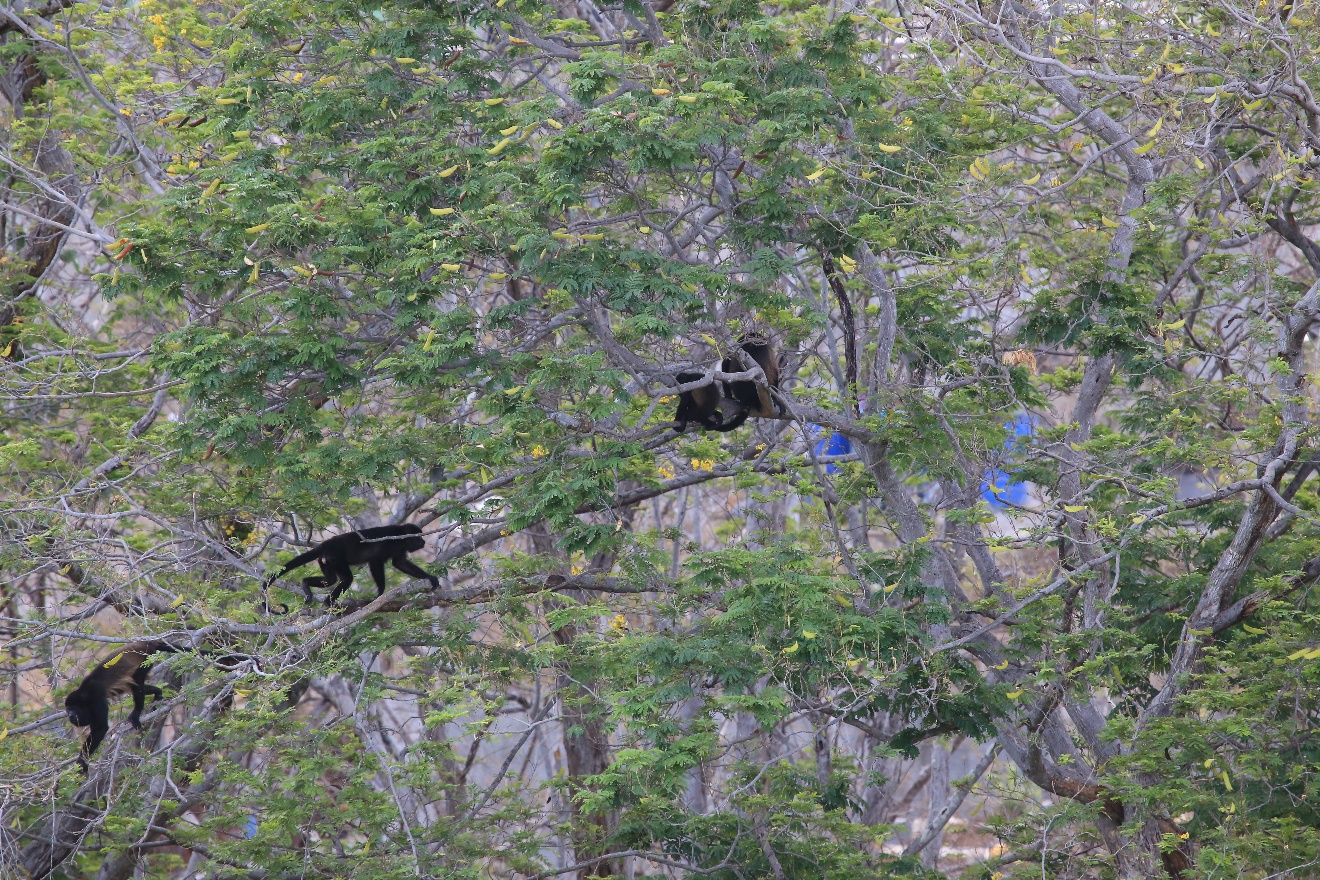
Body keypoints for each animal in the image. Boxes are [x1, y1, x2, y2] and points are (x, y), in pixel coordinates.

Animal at [65, 641, 178, 773]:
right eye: (68, 709)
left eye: (73, 708)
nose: (70, 715)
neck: (85, 696)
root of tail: (145, 642)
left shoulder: (97, 701)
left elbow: (100, 728)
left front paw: (81, 760)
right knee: (131, 684)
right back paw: (157, 692)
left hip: (146, 657)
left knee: (136, 682)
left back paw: (136, 713)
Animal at [261, 523, 439, 612]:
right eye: (418, 537)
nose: (423, 542)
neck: (401, 536)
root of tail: (327, 544)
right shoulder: (390, 543)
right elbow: (376, 562)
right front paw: (379, 594)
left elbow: (400, 563)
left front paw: (430, 578)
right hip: (335, 558)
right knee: (347, 579)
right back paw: (329, 602)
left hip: (325, 560)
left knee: (330, 579)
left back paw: (306, 584)